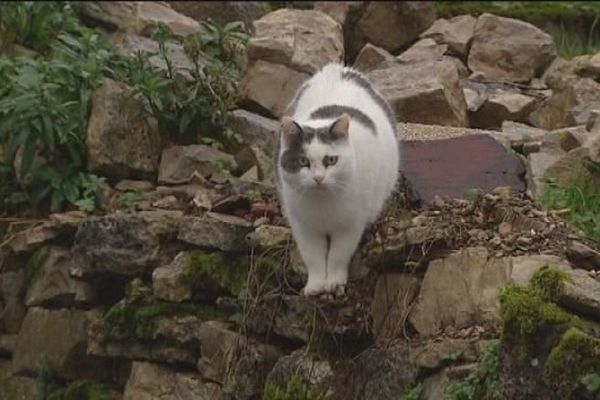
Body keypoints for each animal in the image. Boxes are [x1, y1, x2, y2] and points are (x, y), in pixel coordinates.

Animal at [276, 61, 398, 296]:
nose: (318, 178)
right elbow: (313, 257)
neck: (323, 206)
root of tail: (337, 68)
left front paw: (333, 282)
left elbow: (338, 255)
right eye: (303, 161)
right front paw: (315, 285)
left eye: (331, 160)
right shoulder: (303, 227)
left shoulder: (349, 225)